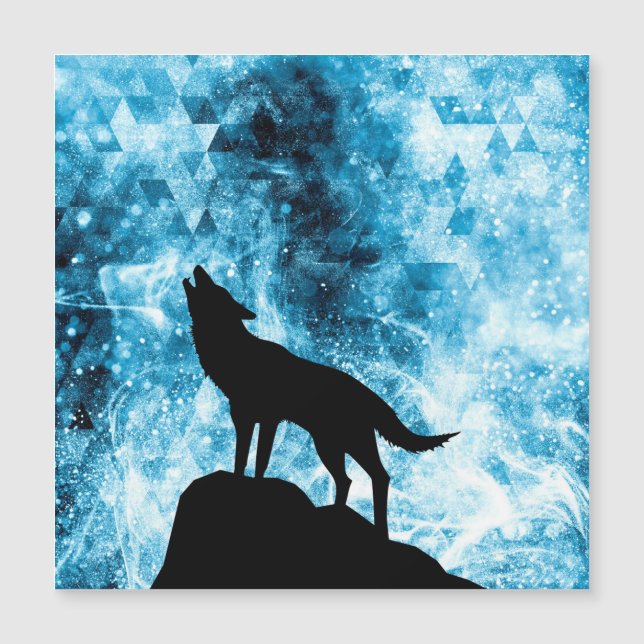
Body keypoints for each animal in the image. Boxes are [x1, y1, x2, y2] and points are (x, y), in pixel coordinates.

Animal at [183, 265, 459, 537]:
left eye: (216, 288)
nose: (198, 267)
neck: (235, 353)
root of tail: (372, 395)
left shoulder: (270, 420)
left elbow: (261, 461)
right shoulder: (243, 419)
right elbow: (240, 459)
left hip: (350, 443)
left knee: (379, 477)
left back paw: (379, 530)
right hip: (329, 446)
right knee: (347, 479)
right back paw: (335, 513)